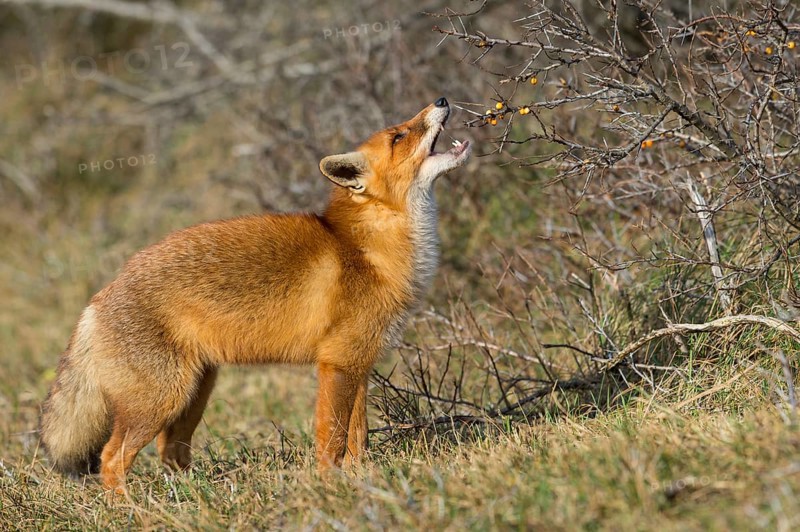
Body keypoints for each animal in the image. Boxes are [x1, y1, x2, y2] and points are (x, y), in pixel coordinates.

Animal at [39, 97, 472, 491]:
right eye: (400, 136)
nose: (442, 100)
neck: (370, 250)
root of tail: (99, 296)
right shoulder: (337, 364)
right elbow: (331, 439)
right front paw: (331, 486)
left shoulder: (359, 364)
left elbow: (358, 438)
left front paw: (361, 479)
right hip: (162, 398)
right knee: (111, 458)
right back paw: (133, 510)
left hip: (193, 394)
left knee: (170, 451)